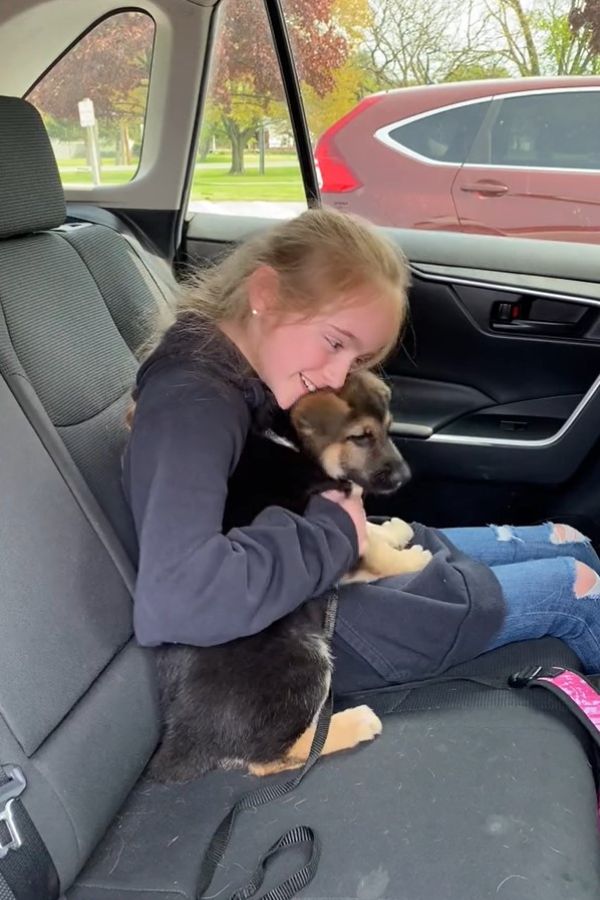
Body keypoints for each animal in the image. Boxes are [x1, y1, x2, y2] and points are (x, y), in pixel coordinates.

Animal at [149, 370, 432, 780]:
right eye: (361, 437)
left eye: (388, 429)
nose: (406, 476)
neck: (296, 444)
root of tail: (184, 735)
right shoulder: (331, 519)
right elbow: (376, 552)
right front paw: (414, 560)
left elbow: (371, 531)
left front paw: (395, 530)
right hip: (304, 655)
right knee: (270, 756)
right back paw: (356, 722)